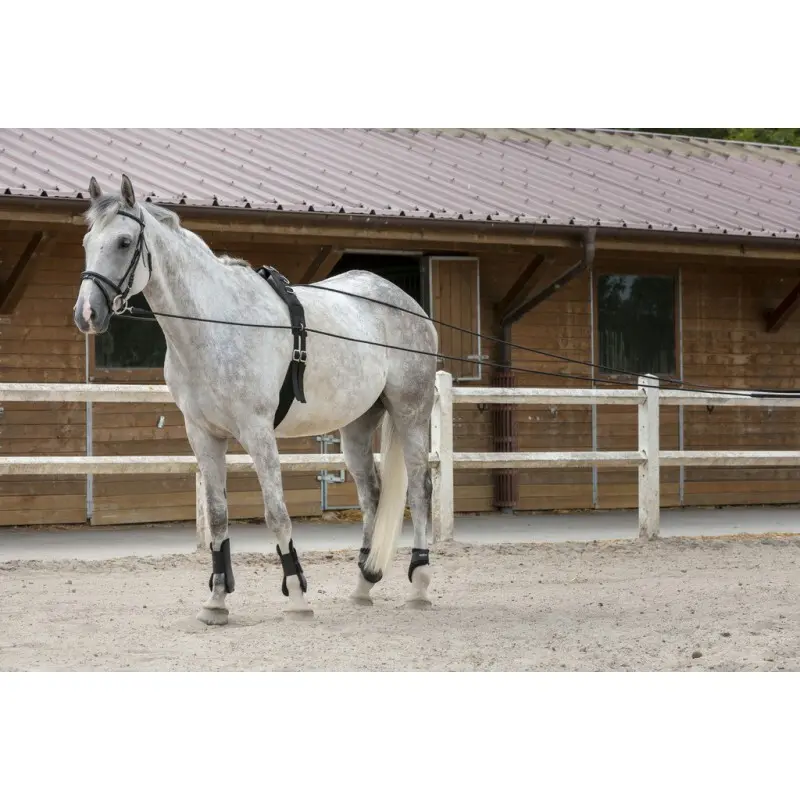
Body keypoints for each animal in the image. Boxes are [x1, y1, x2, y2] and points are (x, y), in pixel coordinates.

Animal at [72, 174, 438, 624]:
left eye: (124, 242)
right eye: (88, 240)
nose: (87, 314)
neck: (215, 324)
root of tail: (406, 303)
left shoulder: (258, 432)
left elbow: (276, 513)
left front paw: (297, 595)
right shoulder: (204, 435)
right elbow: (217, 516)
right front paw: (216, 601)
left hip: (411, 412)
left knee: (420, 488)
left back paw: (419, 586)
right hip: (356, 426)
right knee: (372, 495)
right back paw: (363, 585)